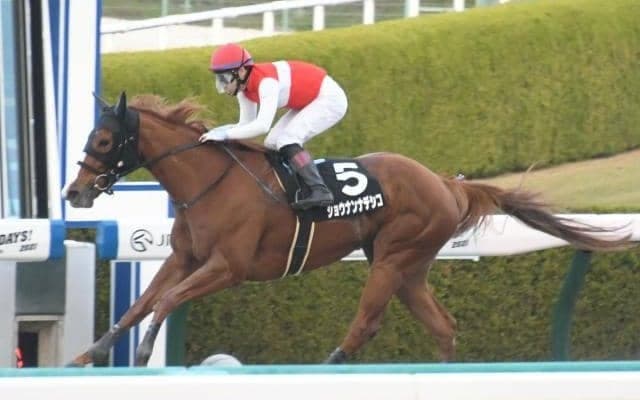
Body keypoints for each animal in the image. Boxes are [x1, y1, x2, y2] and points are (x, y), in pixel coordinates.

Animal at [63, 92, 632, 366]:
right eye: (92, 136)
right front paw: (86, 355)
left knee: (366, 324)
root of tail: (445, 183)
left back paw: (329, 362)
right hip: (410, 268)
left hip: (394, 257)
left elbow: (164, 302)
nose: (74, 193)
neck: (211, 181)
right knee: (442, 325)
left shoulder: (228, 267)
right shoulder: (184, 258)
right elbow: (140, 304)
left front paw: (140, 354)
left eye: (105, 141)